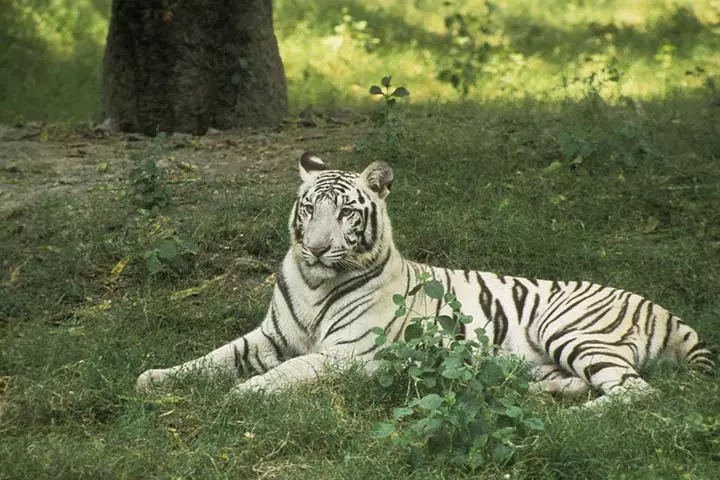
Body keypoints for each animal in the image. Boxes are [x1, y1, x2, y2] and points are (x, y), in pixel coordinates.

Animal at [136, 152, 716, 406]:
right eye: (308, 208)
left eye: (346, 212)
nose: (318, 247)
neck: (315, 281)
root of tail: (664, 309)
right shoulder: (269, 336)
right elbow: (213, 358)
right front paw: (154, 379)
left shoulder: (347, 353)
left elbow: (290, 370)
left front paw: (244, 394)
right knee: (586, 382)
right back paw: (533, 392)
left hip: (569, 328)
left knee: (635, 393)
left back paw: (573, 418)